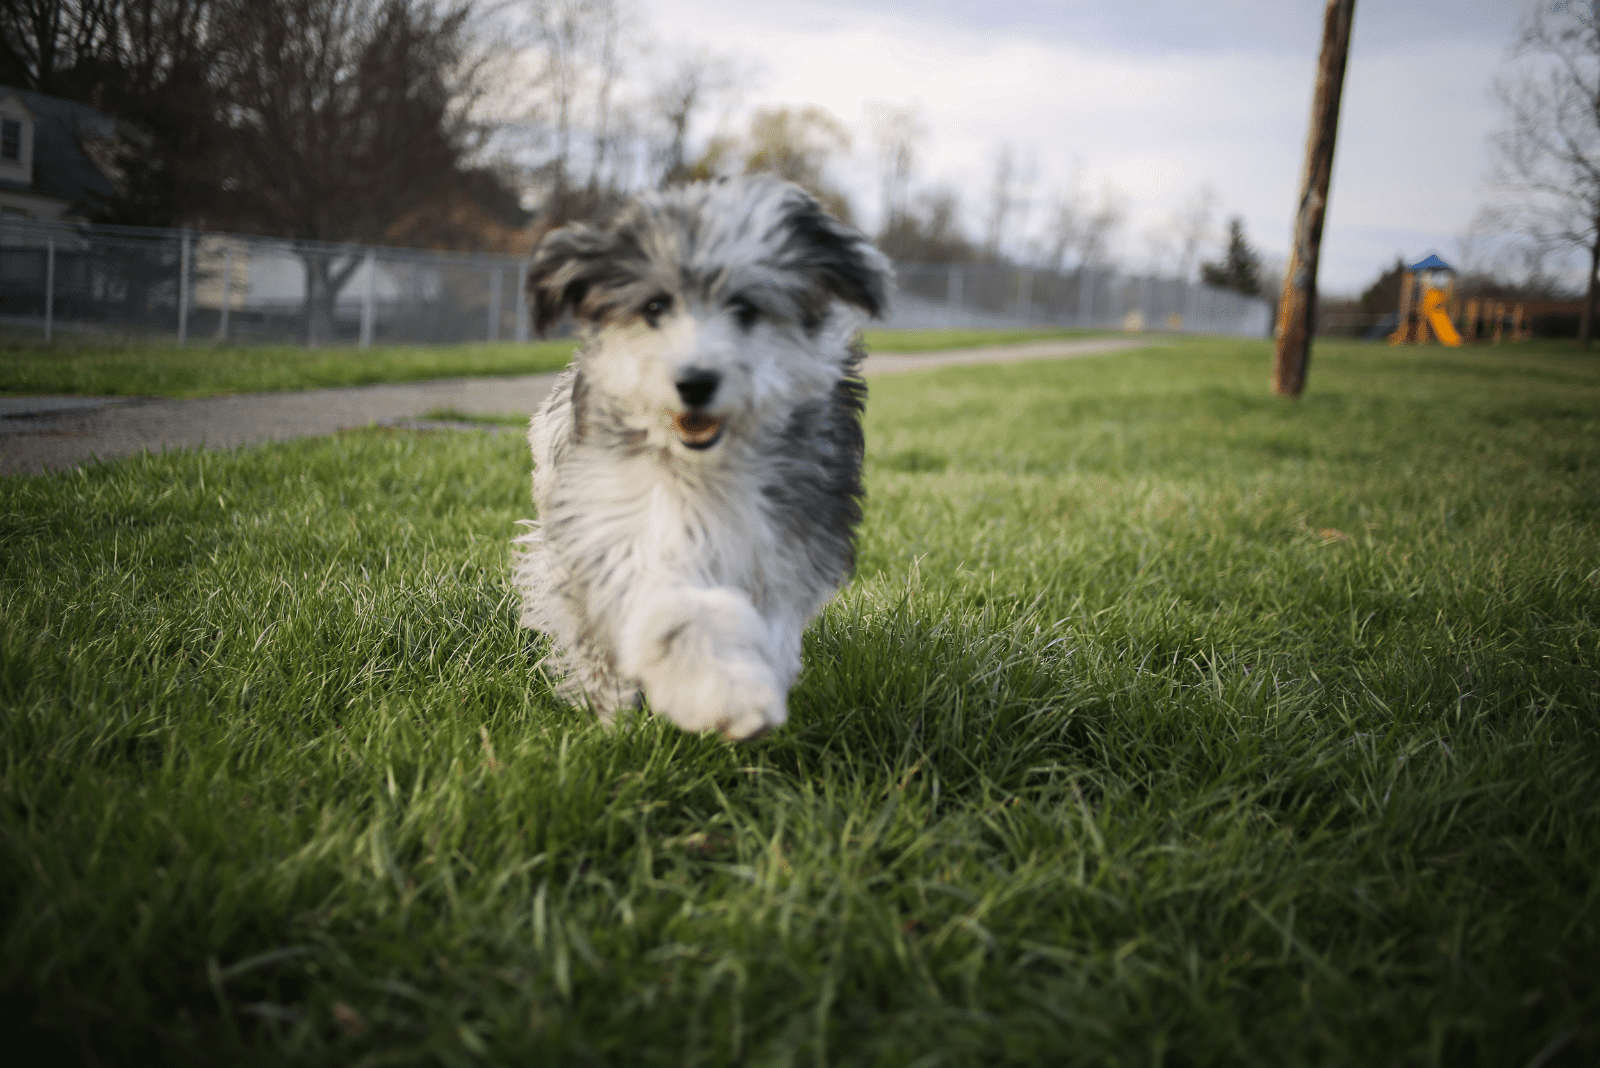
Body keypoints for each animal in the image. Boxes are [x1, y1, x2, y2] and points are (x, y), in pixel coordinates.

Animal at [512, 177, 896, 741]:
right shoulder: (620, 517)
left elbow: (766, 622)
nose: (695, 381)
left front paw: (743, 690)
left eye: (745, 308)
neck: (709, 466)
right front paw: (722, 691)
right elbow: (675, 609)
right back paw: (613, 712)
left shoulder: (786, 542)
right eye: (654, 307)